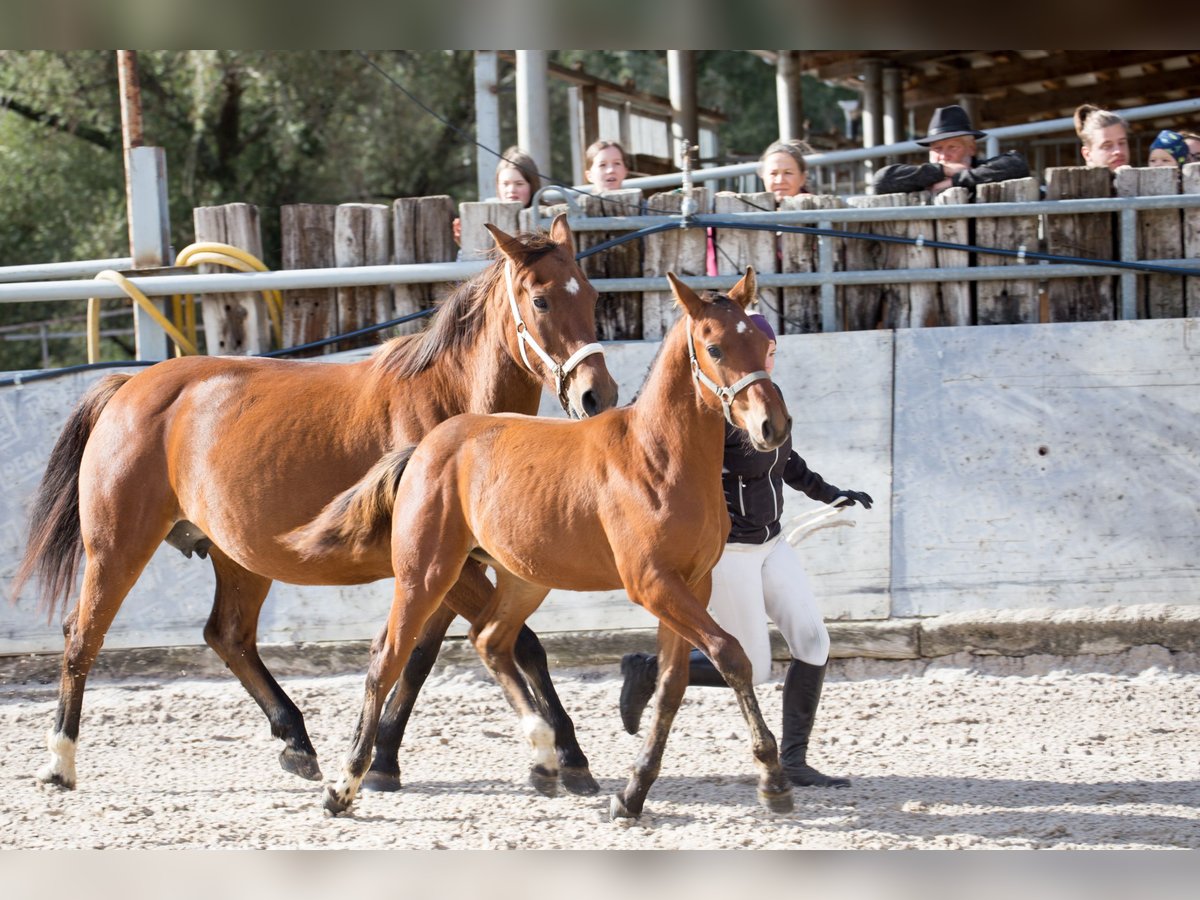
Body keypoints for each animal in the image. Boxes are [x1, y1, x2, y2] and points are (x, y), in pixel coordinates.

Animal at [11, 217, 619, 796]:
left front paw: (383, 762)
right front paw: (568, 757)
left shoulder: (446, 570)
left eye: (591, 294)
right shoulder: (441, 566)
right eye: (540, 300)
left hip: (240, 557)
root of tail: (129, 386)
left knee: (228, 636)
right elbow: (515, 643)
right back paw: (59, 762)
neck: (453, 411)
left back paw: (296, 742)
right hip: (117, 548)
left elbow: (425, 657)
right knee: (82, 635)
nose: (598, 396)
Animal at [289, 264, 796, 820]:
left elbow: (671, 686)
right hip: (425, 575)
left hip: (523, 577)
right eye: (715, 348)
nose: (773, 426)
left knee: (489, 639)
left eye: (762, 344)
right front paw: (772, 779)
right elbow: (731, 655)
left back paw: (545, 758)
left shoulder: (690, 585)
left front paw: (632, 793)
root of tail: (425, 445)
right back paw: (344, 785)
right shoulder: (653, 585)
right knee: (387, 659)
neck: (657, 457)